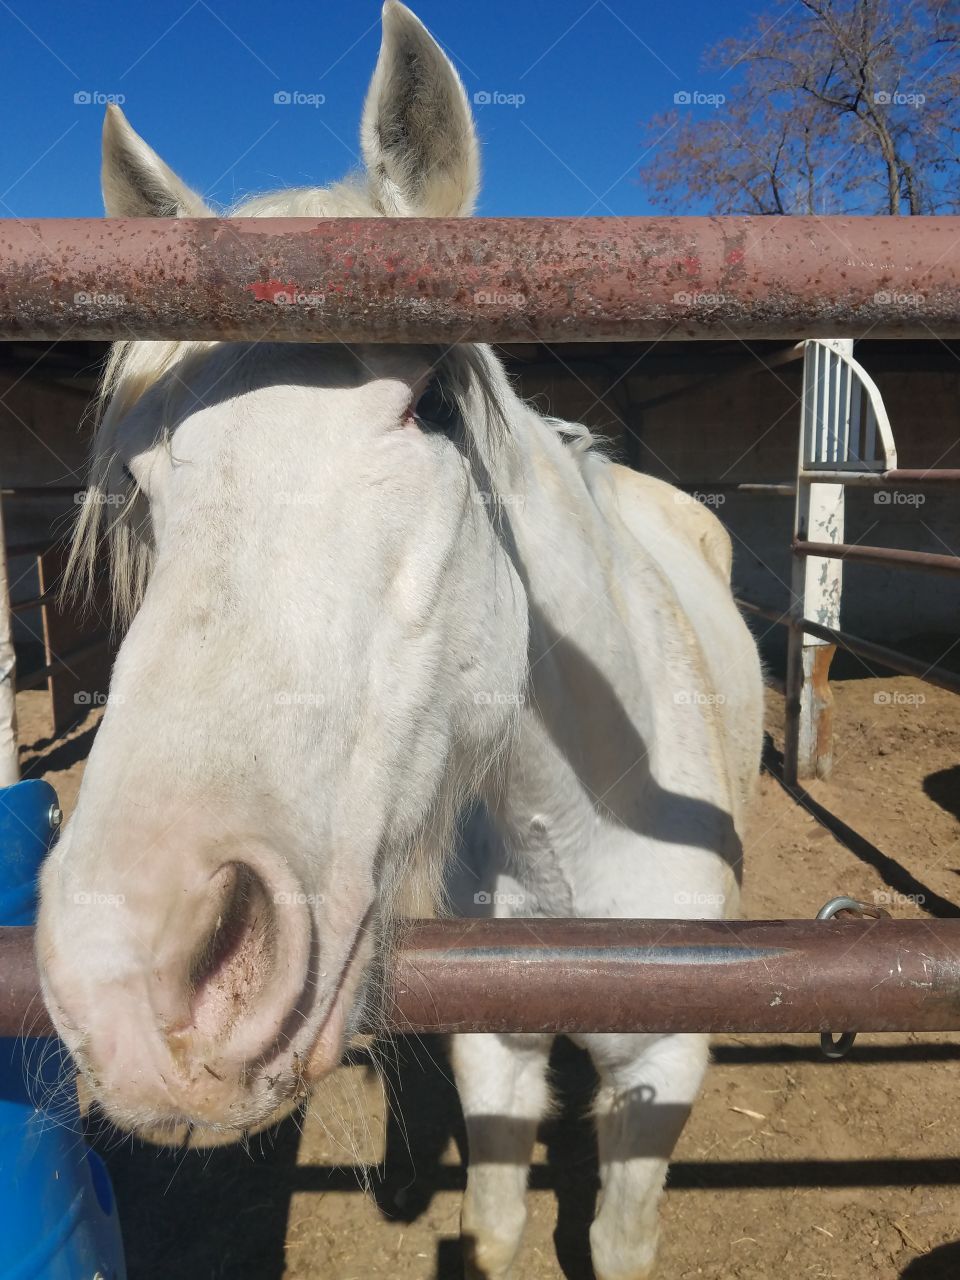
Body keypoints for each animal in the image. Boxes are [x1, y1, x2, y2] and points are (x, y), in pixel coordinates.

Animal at [33, 5, 762, 1274]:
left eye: (431, 404)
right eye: (141, 471)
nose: (136, 968)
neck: (578, 827)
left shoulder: (663, 1069)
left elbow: (619, 1237)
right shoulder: (497, 1052)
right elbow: (498, 1226)